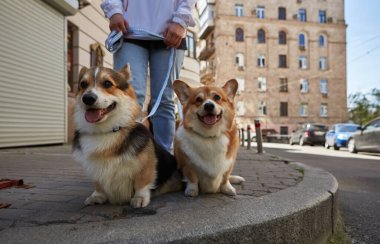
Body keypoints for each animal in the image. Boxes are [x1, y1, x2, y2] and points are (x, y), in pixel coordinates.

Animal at [74, 65, 181, 208]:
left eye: (107, 83)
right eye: (83, 84)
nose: (87, 98)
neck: (107, 130)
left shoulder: (146, 164)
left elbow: (142, 182)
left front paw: (139, 198)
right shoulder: (94, 167)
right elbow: (98, 183)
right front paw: (97, 196)